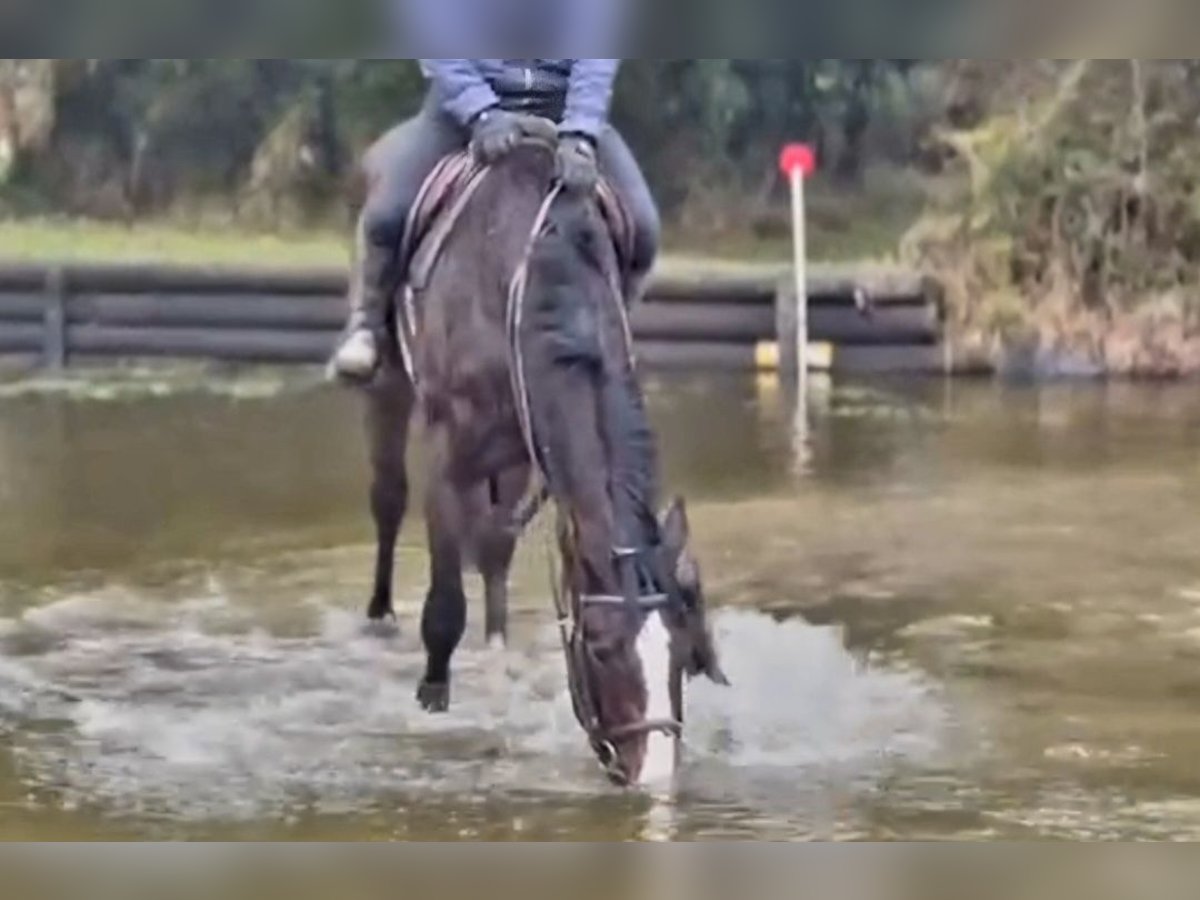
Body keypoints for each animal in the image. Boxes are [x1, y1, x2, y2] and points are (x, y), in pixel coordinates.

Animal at [359, 118, 727, 787]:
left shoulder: (539, 451)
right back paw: (379, 617)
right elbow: (444, 606)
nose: (654, 776)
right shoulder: (447, 454)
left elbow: (497, 549)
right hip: (388, 390)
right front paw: (432, 701)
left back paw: (497, 648)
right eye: (601, 647)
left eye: (685, 650)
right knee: (388, 498)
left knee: (493, 547)